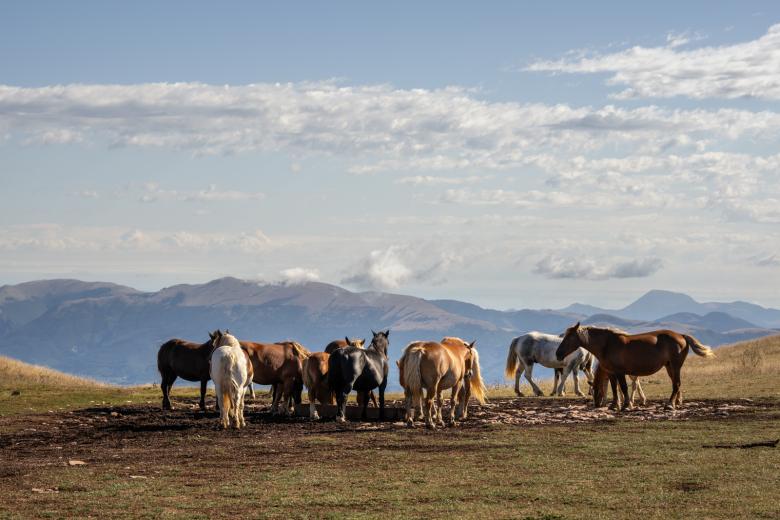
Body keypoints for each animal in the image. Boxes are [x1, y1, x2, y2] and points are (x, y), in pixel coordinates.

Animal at [556, 320, 712, 410]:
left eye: (569, 337)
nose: (558, 353)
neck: (607, 345)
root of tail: (681, 335)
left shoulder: (620, 372)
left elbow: (624, 387)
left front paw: (626, 405)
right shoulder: (612, 373)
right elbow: (615, 389)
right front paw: (614, 405)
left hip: (675, 366)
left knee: (677, 384)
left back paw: (669, 405)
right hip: (669, 367)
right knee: (676, 383)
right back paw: (675, 402)